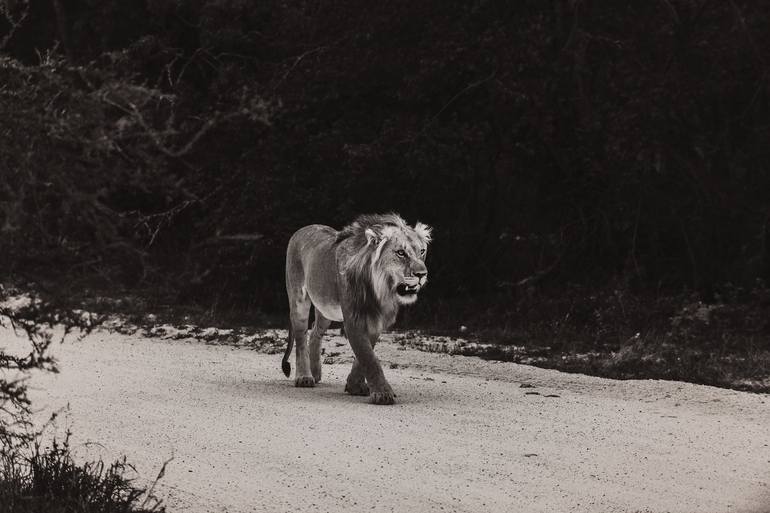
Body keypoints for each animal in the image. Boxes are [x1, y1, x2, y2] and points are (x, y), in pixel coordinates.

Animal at [280, 212, 428, 404]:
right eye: (401, 253)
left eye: (422, 251)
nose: (422, 274)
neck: (381, 288)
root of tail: (303, 229)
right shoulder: (354, 319)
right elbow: (369, 358)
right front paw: (382, 393)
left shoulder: (375, 320)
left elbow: (364, 355)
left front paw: (355, 386)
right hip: (299, 298)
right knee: (300, 337)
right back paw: (305, 377)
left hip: (326, 309)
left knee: (314, 333)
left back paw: (316, 373)